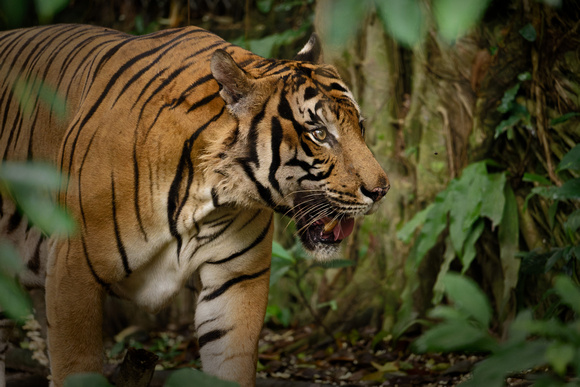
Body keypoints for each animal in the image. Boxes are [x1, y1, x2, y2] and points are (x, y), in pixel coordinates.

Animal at [0, 25, 390, 387]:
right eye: (319, 134)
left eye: (360, 126)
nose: (381, 190)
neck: (211, 195)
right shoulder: (73, 271)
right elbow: (75, 365)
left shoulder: (236, 281)